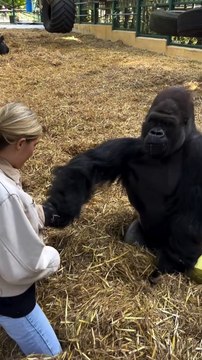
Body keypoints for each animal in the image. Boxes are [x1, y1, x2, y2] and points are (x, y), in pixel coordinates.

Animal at [43, 86, 202, 278]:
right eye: (154, 121)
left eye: (167, 124)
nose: (156, 132)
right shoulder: (133, 147)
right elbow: (87, 166)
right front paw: (60, 210)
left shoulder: (198, 152)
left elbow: (191, 215)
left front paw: (171, 264)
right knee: (134, 237)